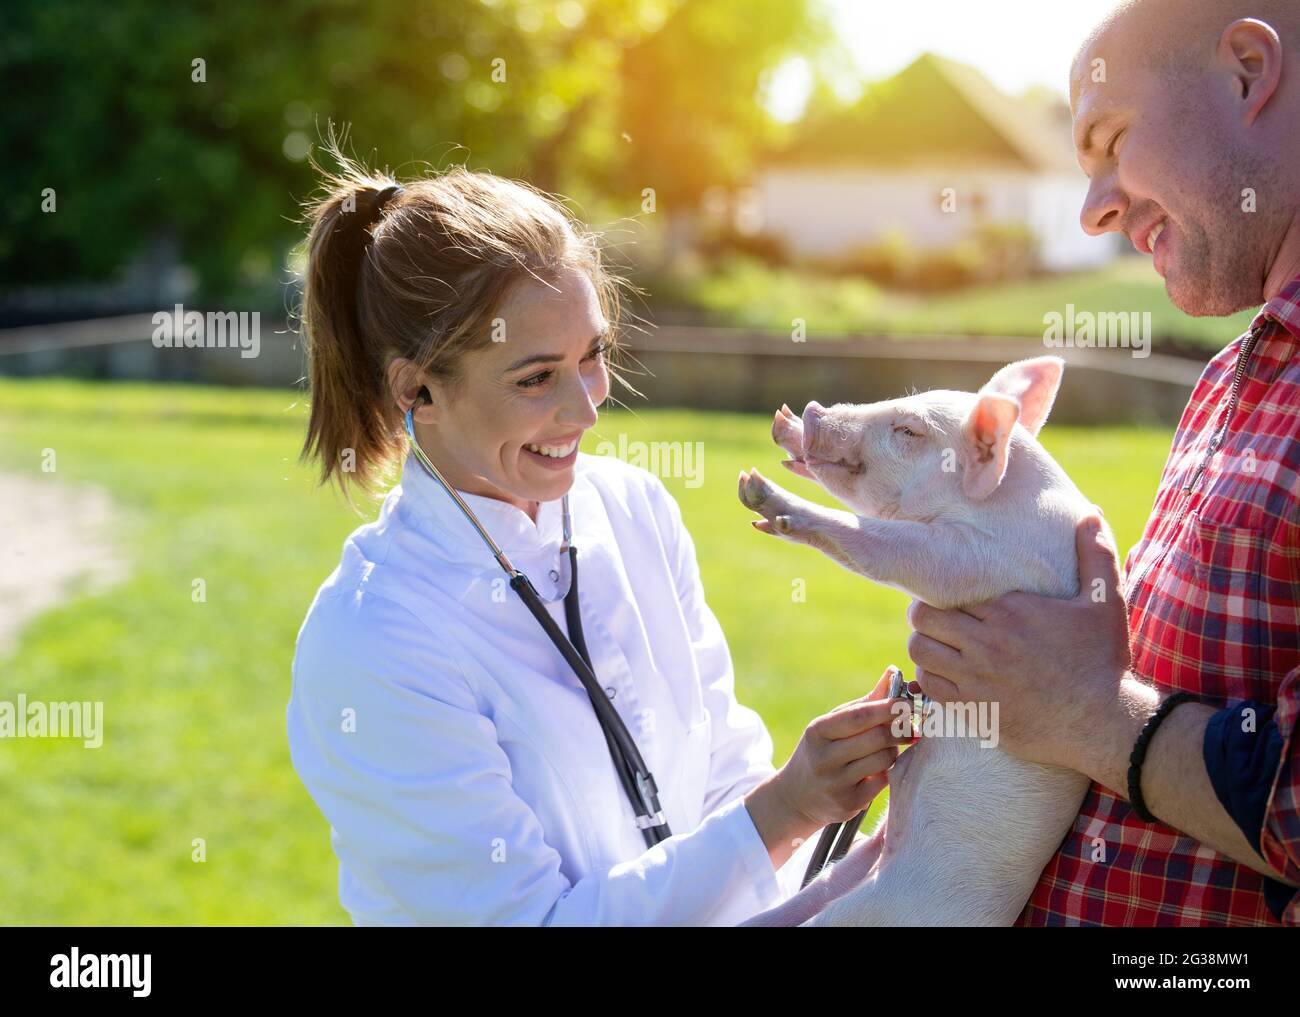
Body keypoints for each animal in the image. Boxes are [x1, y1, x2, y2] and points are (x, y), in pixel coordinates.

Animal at [738, 358, 1112, 931]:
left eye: (909, 431)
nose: (811, 409)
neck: (1007, 504)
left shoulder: (980, 562)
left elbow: (886, 546)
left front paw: (755, 488)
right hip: (849, 869)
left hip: (878, 907)